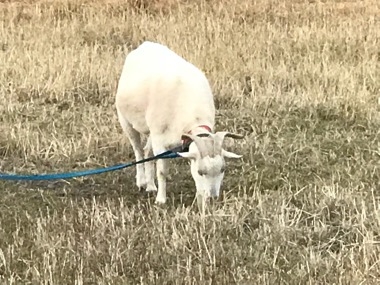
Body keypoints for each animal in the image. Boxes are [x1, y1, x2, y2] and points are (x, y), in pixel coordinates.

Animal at [114, 41, 243, 207]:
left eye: (222, 169)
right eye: (201, 172)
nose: (213, 197)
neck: (193, 116)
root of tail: (145, 44)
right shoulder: (160, 140)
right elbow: (162, 171)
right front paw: (161, 200)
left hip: (152, 130)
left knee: (147, 151)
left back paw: (150, 185)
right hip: (125, 119)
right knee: (138, 150)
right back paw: (142, 182)